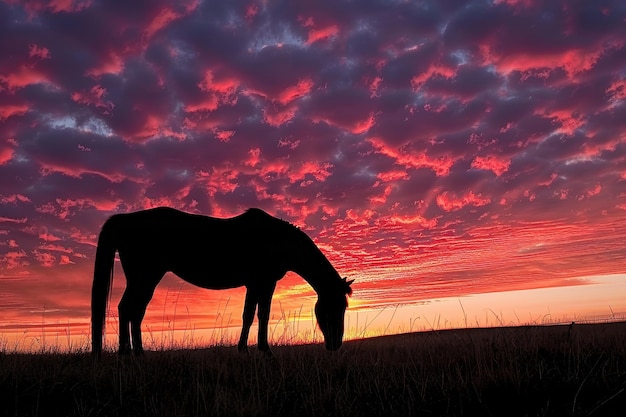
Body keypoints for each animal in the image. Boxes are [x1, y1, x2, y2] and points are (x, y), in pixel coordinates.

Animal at [91, 206, 354, 356]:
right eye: (335, 307)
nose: (335, 344)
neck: (278, 241)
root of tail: (125, 220)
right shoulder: (264, 283)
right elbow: (261, 315)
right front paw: (264, 351)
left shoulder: (254, 284)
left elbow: (249, 315)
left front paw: (244, 350)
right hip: (145, 277)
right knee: (128, 309)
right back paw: (127, 354)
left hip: (144, 279)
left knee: (133, 311)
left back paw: (137, 354)